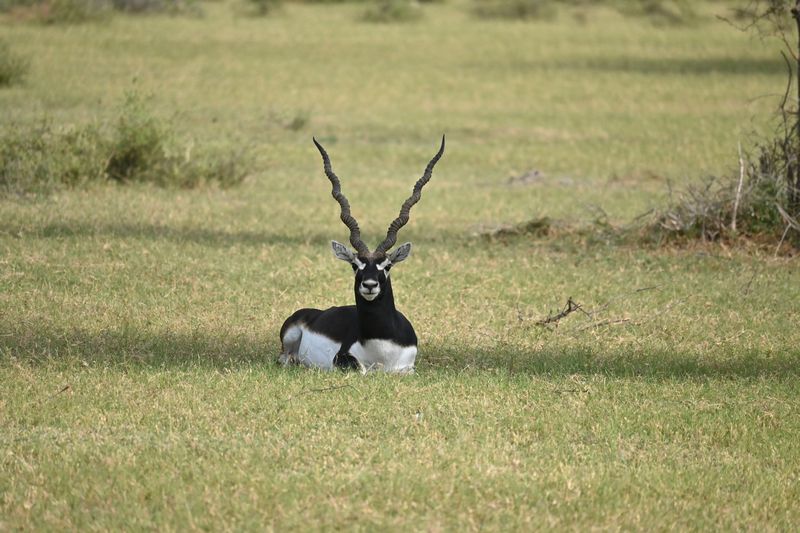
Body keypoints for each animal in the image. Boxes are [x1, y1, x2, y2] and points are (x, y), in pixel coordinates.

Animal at [280, 135, 444, 372]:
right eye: (355, 265)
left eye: (387, 266)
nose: (369, 285)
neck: (381, 344)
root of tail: (314, 313)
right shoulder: (342, 359)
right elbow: (363, 370)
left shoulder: (408, 368)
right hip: (289, 340)